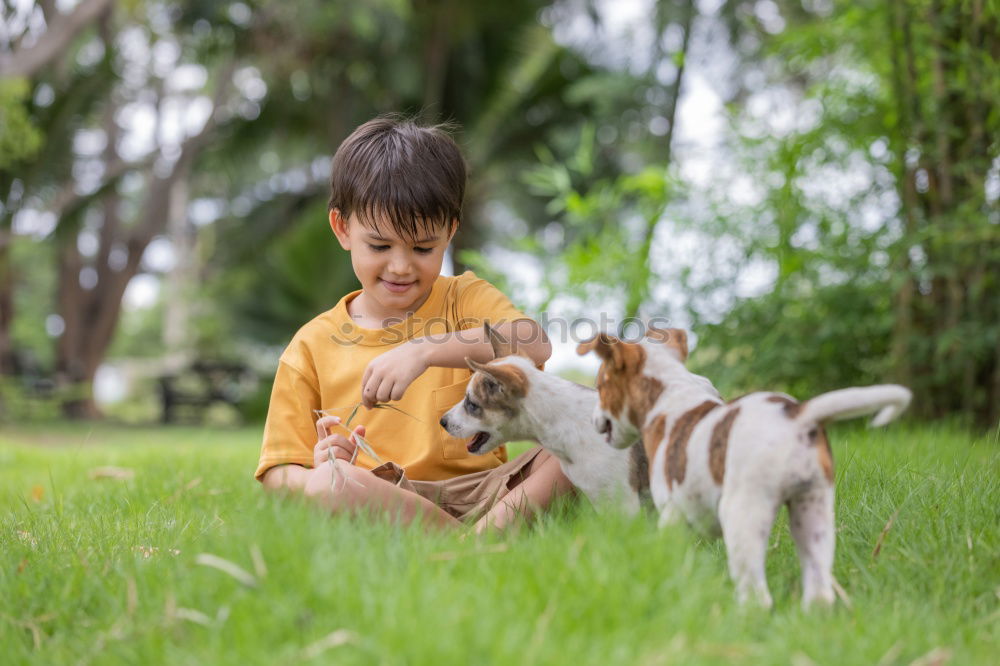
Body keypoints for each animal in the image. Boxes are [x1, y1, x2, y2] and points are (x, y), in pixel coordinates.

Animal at [580, 326, 916, 608]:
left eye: (600, 385)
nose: (594, 420)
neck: (670, 395)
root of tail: (797, 415)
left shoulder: (675, 516)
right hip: (814, 511)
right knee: (819, 589)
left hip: (743, 513)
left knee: (757, 595)